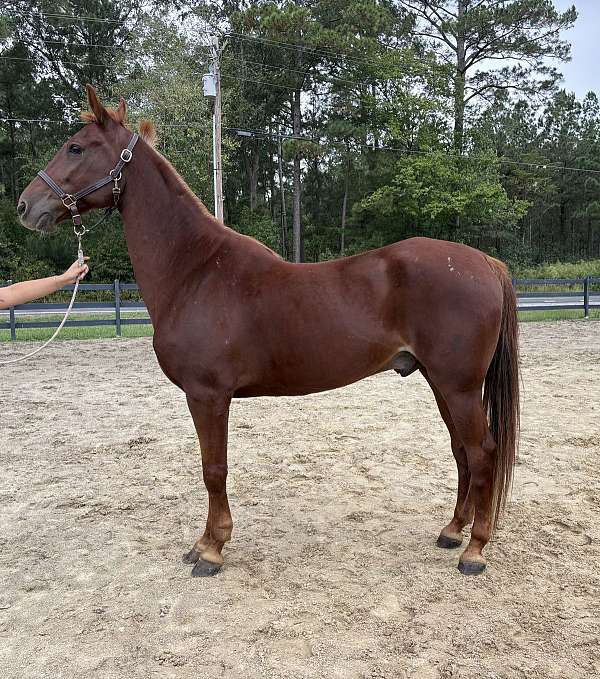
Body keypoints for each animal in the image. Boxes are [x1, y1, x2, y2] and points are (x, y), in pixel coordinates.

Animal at [17, 86, 519, 577]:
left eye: (76, 147)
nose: (25, 205)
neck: (195, 271)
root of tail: (484, 262)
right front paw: (204, 544)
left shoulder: (207, 395)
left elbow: (213, 469)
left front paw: (212, 550)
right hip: (440, 382)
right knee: (461, 451)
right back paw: (452, 530)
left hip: (457, 385)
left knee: (482, 453)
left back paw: (474, 550)